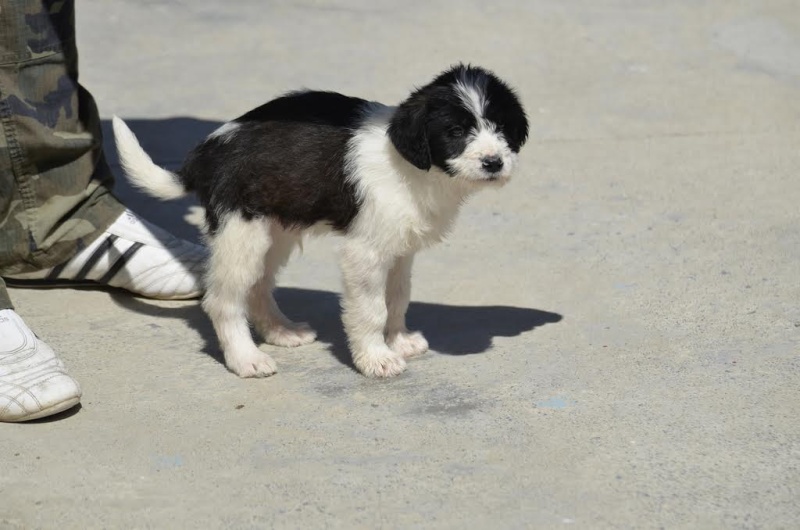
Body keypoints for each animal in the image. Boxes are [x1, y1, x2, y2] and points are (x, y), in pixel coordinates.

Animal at [111, 64, 524, 378]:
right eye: (455, 131)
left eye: (502, 128)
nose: (493, 162)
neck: (413, 168)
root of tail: (208, 151)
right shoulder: (365, 253)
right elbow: (371, 309)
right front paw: (376, 358)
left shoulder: (399, 249)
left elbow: (397, 299)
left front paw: (399, 340)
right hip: (241, 235)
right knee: (224, 301)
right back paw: (246, 359)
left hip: (274, 232)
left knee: (259, 286)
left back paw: (280, 332)